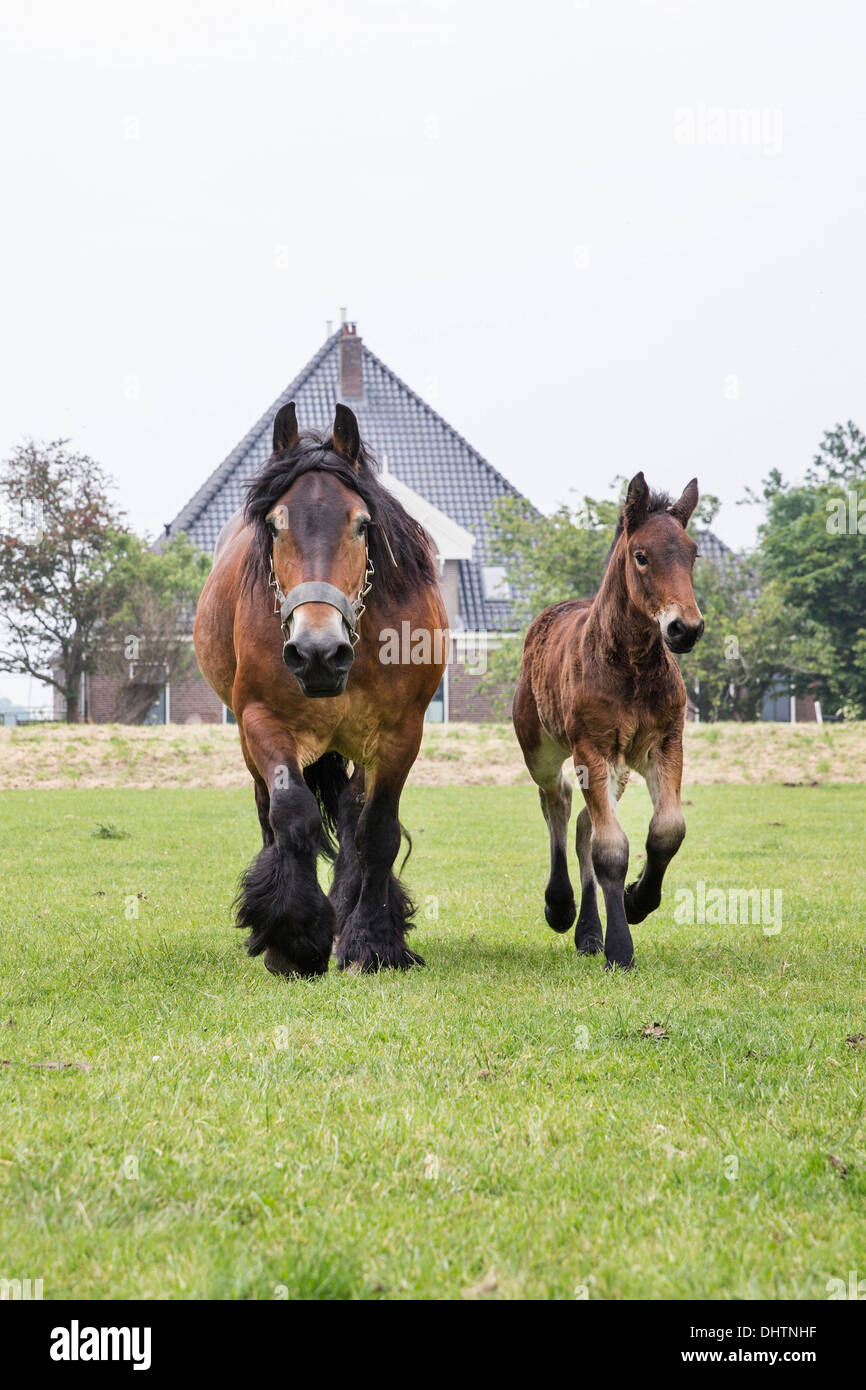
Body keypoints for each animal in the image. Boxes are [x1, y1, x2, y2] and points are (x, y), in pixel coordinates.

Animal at [195, 397, 447, 973]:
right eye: (274, 525)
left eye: (361, 525)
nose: (316, 654)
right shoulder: (261, 720)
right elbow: (293, 816)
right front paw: (295, 937)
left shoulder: (401, 734)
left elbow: (376, 833)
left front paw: (373, 941)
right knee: (269, 812)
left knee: (354, 814)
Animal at [514, 472, 706, 973]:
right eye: (641, 555)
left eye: (693, 553)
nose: (686, 629)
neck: (631, 666)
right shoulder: (592, 747)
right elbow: (611, 849)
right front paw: (620, 948)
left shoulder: (666, 742)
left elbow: (667, 830)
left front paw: (639, 900)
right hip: (542, 749)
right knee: (558, 802)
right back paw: (561, 906)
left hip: (618, 766)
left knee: (584, 822)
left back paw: (587, 932)